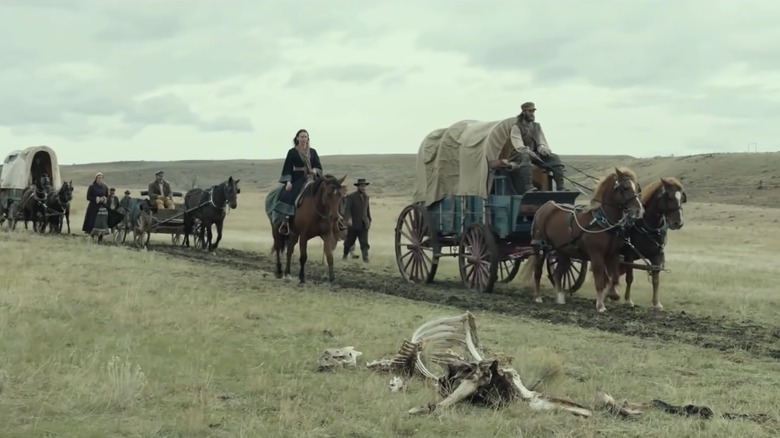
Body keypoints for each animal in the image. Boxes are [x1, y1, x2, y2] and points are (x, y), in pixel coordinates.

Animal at [520, 167, 644, 312]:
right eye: (625, 188)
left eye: (637, 187)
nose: (639, 211)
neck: (603, 222)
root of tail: (545, 206)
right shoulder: (596, 255)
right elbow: (600, 281)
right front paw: (600, 305)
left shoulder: (612, 255)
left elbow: (613, 279)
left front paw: (610, 295)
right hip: (541, 248)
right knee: (538, 272)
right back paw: (538, 297)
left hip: (563, 251)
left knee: (558, 273)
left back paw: (560, 297)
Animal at [608, 176, 684, 310]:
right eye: (669, 196)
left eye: (682, 198)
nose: (678, 223)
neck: (648, 225)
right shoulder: (630, 255)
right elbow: (629, 278)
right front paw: (628, 300)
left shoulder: (657, 256)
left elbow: (656, 279)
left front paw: (657, 303)